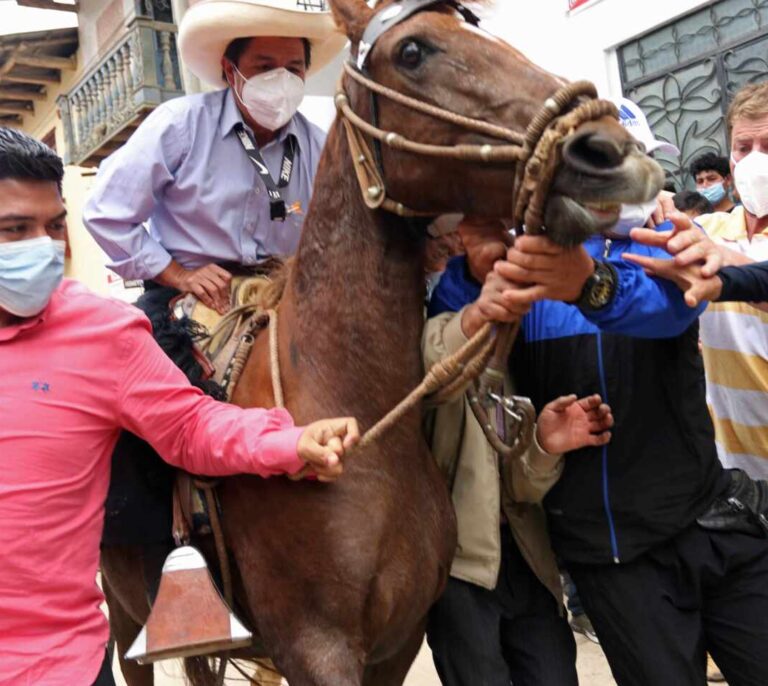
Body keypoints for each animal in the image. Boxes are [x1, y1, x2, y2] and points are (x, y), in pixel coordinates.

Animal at [102, 1, 664, 686]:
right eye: (413, 51)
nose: (609, 149)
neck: (350, 406)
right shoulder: (317, 648)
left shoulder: (397, 641)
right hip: (128, 616)